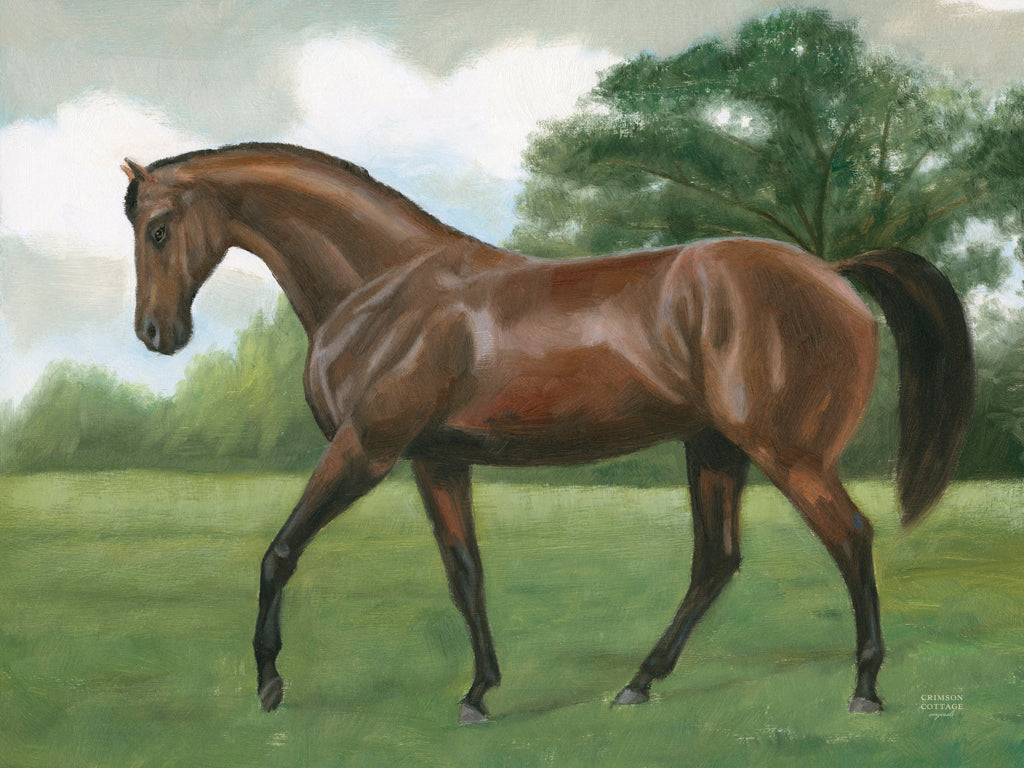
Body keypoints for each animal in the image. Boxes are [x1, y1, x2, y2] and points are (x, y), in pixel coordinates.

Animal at [121, 142, 974, 725]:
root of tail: (832, 273)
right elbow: (465, 574)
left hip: (788, 455)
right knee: (717, 561)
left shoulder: (367, 450)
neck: (386, 288)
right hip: (715, 450)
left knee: (850, 538)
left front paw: (269, 681)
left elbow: (279, 553)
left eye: (159, 229)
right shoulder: (435, 462)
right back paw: (638, 683)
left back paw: (864, 688)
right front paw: (478, 692)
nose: (156, 334)